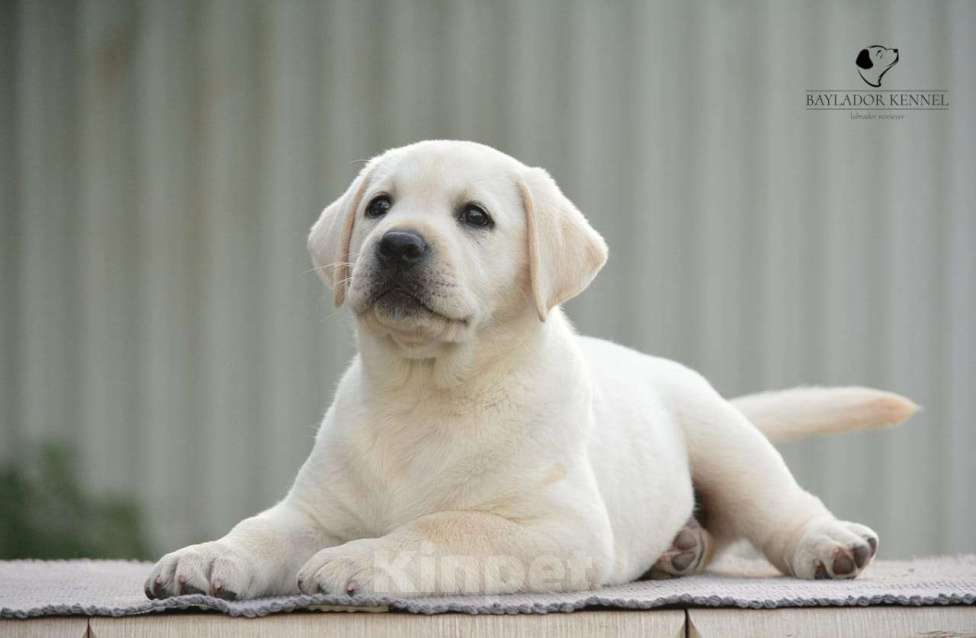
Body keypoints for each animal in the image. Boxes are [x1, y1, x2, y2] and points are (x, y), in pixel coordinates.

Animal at [145, 141, 916, 604]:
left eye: (475, 217)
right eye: (379, 207)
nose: (397, 245)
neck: (424, 392)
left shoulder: (556, 526)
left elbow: (447, 525)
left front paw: (358, 560)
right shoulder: (315, 510)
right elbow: (261, 529)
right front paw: (206, 556)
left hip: (726, 442)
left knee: (782, 507)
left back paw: (831, 545)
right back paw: (680, 548)